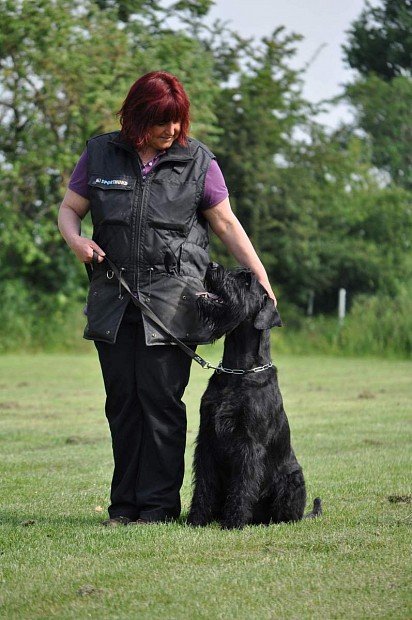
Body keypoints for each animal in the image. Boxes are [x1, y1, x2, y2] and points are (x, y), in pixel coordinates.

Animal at [187, 264, 322, 532]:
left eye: (246, 280)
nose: (212, 266)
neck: (238, 371)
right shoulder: (207, 439)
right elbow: (204, 483)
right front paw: (197, 519)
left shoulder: (248, 443)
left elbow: (242, 484)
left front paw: (234, 521)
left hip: (293, 479)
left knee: (285, 515)